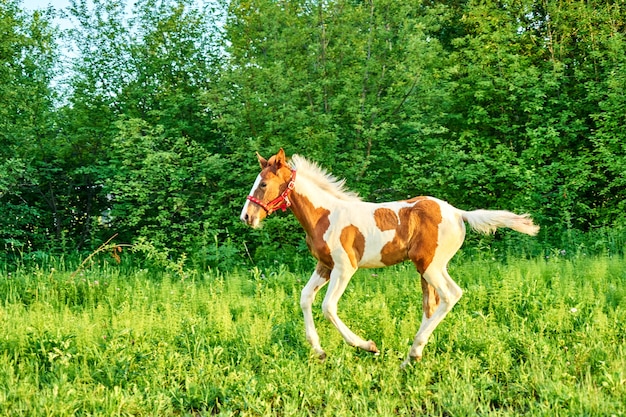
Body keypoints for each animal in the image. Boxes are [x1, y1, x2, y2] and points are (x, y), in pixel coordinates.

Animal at [239, 148, 536, 366]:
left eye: (263, 184)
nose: (247, 217)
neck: (325, 215)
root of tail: (458, 213)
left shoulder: (345, 267)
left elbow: (328, 306)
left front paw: (367, 346)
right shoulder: (325, 265)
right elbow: (304, 298)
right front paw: (319, 351)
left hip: (430, 265)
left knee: (451, 295)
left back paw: (414, 352)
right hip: (430, 267)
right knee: (432, 304)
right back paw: (411, 357)